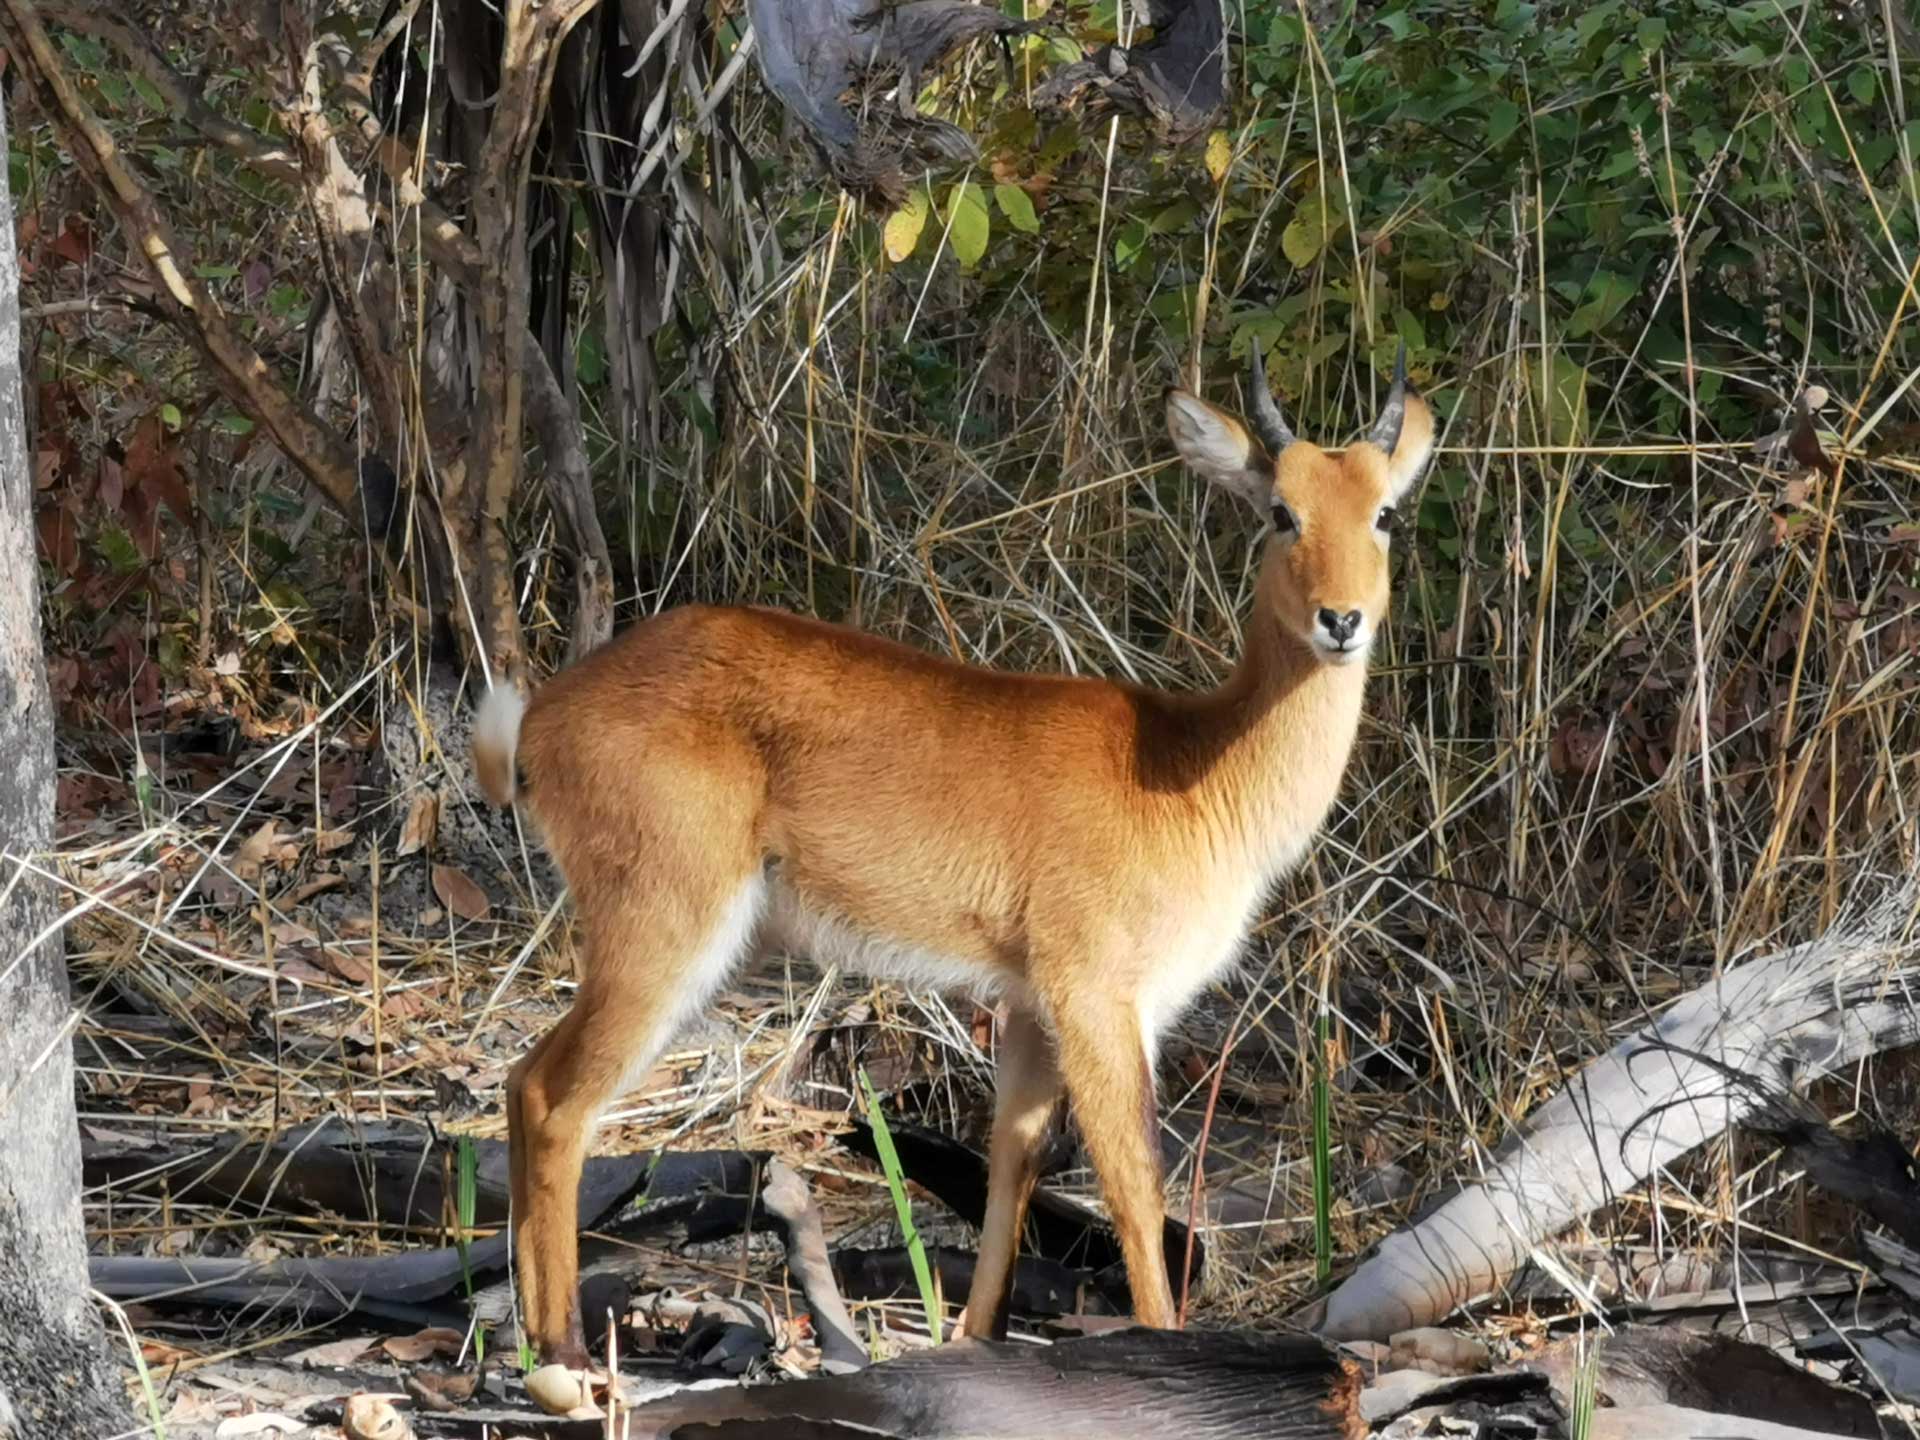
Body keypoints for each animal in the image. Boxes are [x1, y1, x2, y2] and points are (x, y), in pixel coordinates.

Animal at [476, 343, 1443, 1367]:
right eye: (1280, 510)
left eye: (1384, 511)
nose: (1342, 620)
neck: (1189, 769)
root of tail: (540, 718)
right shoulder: (1098, 995)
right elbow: (1135, 1182)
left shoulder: (1030, 1005)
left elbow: (1013, 1158)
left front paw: (979, 1338)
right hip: (664, 931)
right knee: (556, 1099)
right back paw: (565, 1354)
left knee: (521, 1082)